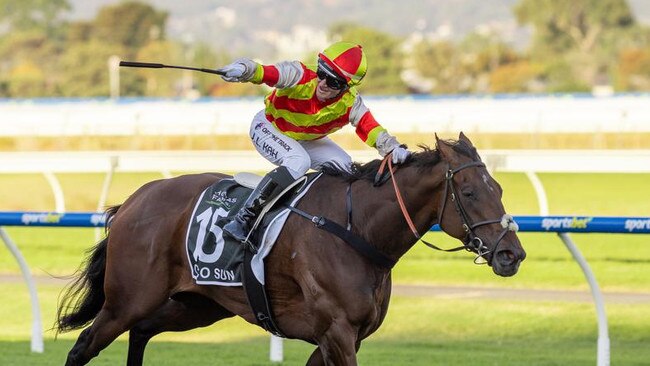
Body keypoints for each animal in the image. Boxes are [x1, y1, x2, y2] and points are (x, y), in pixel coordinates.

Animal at [54, 133, 520, 364]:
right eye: (470, 192)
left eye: (498, 188)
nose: (512, 254)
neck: (357, 230)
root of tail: (133, 201)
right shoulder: (337, 333)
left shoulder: (344, 337)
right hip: (128, 298)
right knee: (84, 346)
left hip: (198, 304)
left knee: (142, 331)